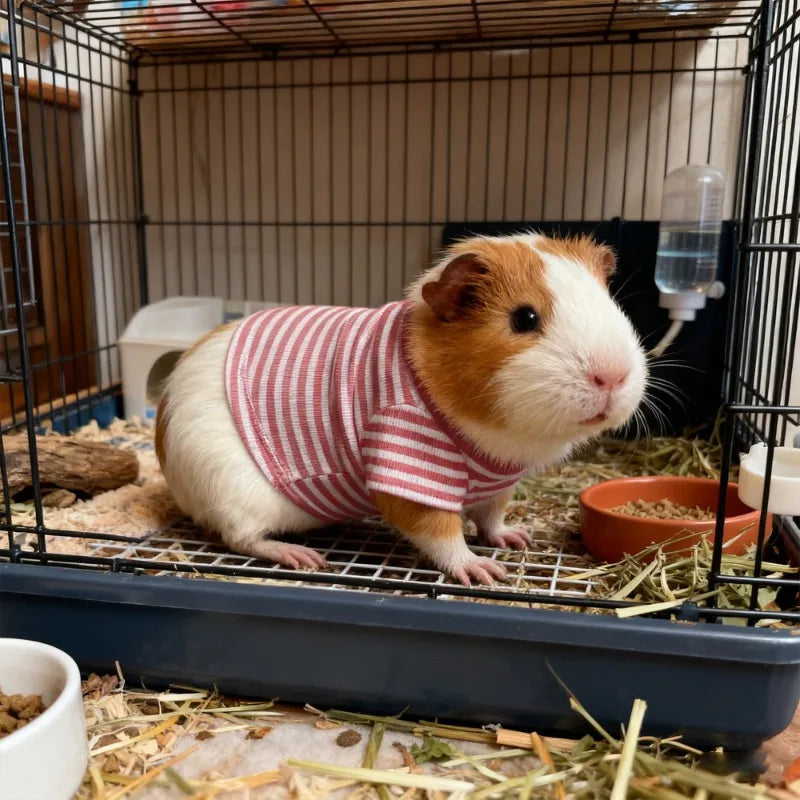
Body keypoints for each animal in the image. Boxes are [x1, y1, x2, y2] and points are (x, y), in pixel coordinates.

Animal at [156, 233, 647, 586]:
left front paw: (515, 540)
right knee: (242, 538)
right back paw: (303, 557)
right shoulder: (409, 473)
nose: (613, 376)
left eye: (611, 304)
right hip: (233, 492)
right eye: (524, 318)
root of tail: (164, 425)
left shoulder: (498, 486)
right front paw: (483, 571)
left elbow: (490, 517)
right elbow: (441, 532)